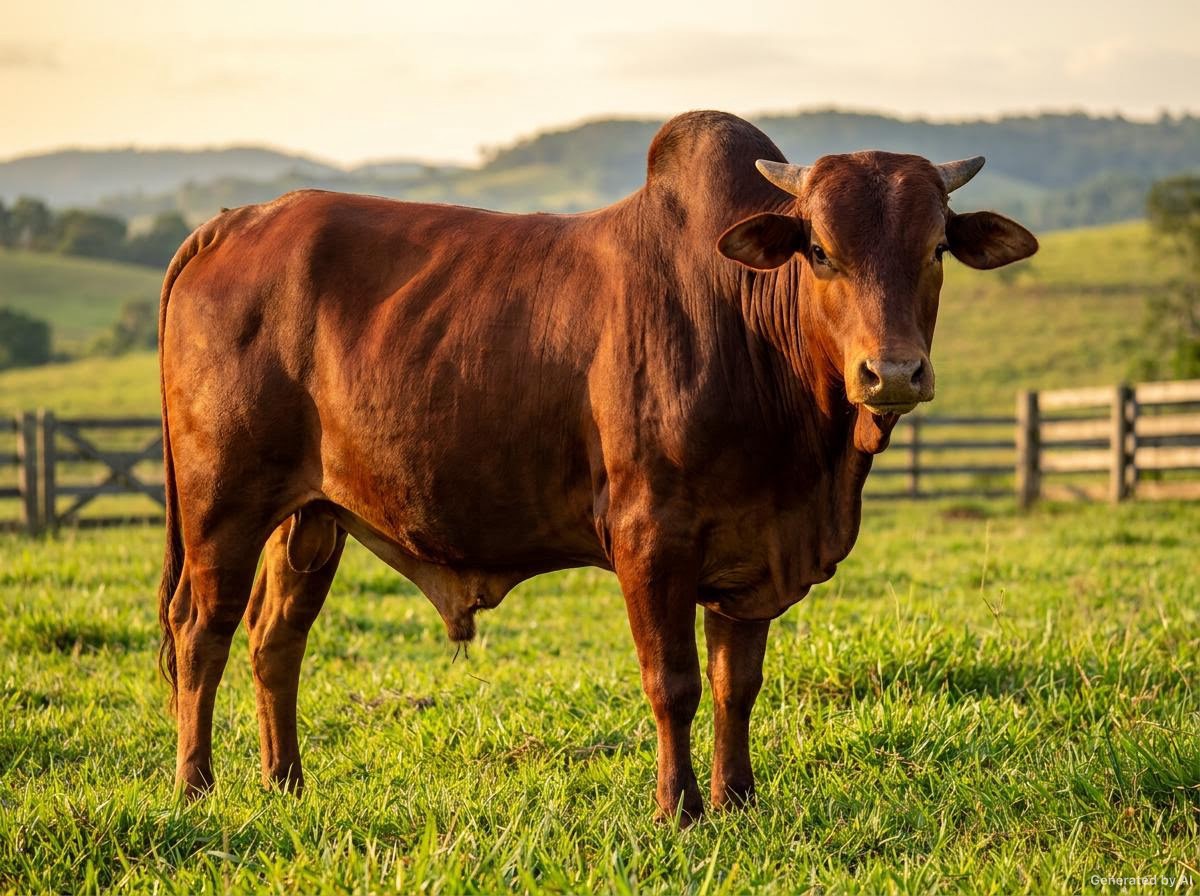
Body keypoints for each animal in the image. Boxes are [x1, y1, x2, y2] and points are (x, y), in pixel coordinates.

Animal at [157, 110, 1037, 824]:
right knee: (202, 632)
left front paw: (739, 798)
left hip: (310, 517)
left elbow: (736, 685)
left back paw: (285, 782)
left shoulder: (753, 549)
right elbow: (673, 683)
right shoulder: (651, 539)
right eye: (819, 250)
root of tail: (234, 223)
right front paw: (678, 807)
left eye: (935, 248)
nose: (892, 373)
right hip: (221, 504)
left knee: (276, 638)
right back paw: (196, 787)